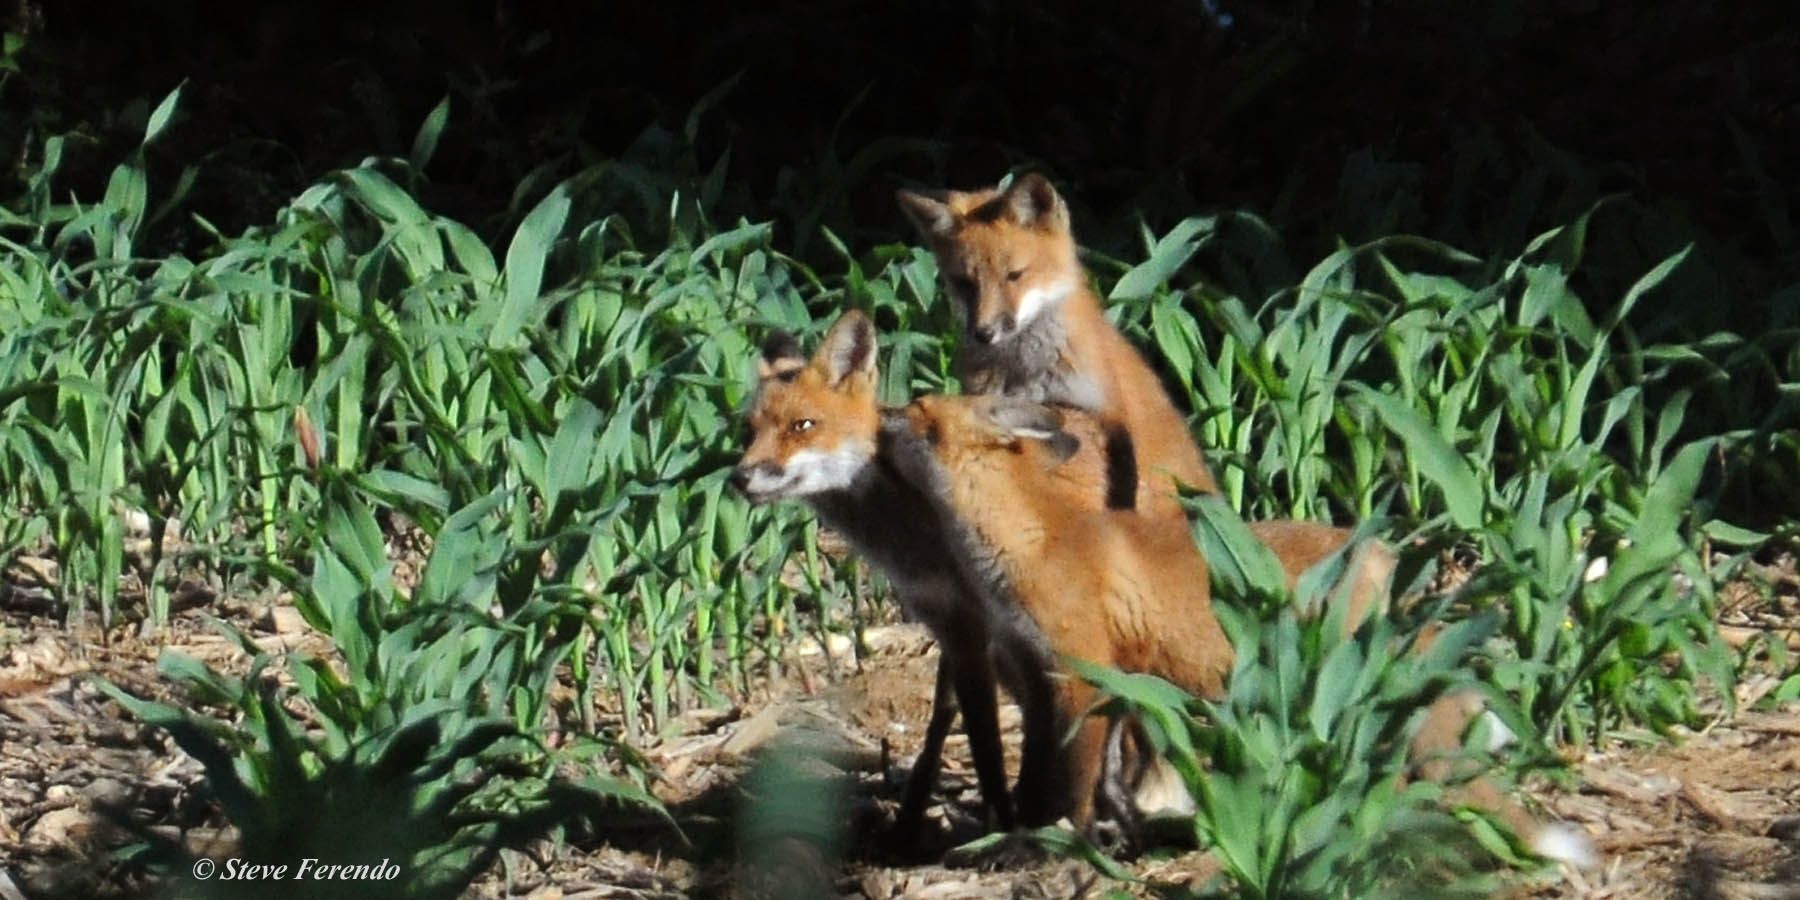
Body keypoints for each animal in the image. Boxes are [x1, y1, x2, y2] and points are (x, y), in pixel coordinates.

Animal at [730, 311, 1067, 837]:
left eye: (802, 426)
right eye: (749, 431)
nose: (740, 478)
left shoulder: (974, 624)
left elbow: (984, 739)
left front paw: (1000, 822)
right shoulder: (946, 619)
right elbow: (944, 721)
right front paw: (911, 818)